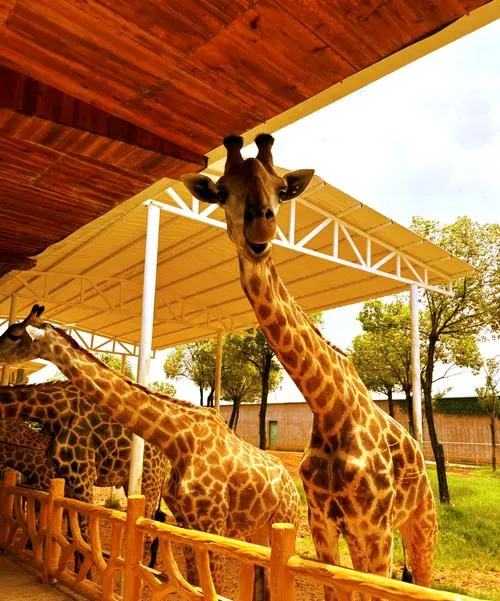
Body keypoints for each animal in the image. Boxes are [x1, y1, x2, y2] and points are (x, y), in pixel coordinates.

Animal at [0, 306, 300, 594]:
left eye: (14, 333)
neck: (180, 441)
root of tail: (292, 486)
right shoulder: (187, 522)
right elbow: (194, 584)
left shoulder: (212, 524)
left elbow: (212, 587)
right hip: (258, 529)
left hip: (284, 521)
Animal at [182, 134, 438, 598]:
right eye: (222, 192)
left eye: (282, 190)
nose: (260, 231)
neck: (330, 409)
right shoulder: (325, 524)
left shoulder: (376, 528)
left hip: (420, 523)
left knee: (422, 578)